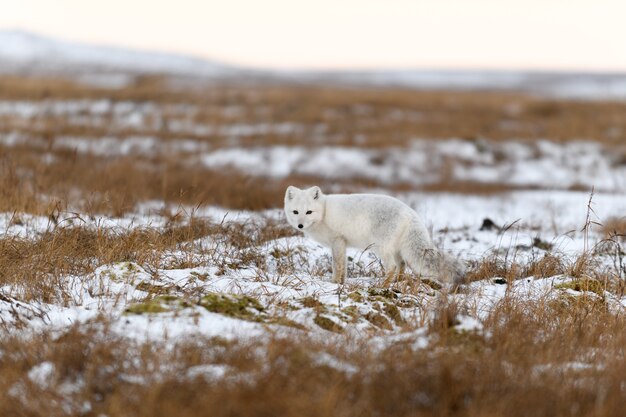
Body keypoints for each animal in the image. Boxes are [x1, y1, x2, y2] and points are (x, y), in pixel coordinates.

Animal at [282, 187, 464, 284]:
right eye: (296, 212)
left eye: (309, 212)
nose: (300, 225)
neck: (324, 213)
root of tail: (411, 213)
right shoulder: (343, 243)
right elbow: (344, 267)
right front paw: (342, 283)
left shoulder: (337, 240)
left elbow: (337, 265)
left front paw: (334, 282)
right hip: (395, 249)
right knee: (402, 265)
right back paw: (397, 282)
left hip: (381, 247)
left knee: (392, 266)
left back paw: (383, 285)